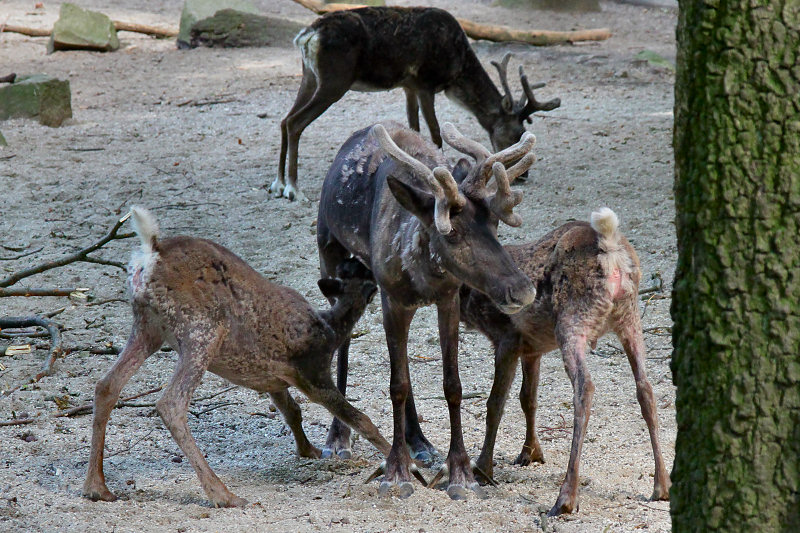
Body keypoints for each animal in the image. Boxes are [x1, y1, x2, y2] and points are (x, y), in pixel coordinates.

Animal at [82, 207, 390, 508]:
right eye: (363, 269)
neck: (331, 328)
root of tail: (151, 249)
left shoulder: (273, 380)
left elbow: (293, 411)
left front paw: (308, 450)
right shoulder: (312, 372)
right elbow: (360, 419)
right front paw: (395, 457)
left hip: (148, 327)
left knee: (106, 385)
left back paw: (97, 487)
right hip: (202, 330)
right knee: (170, 403)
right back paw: (223, 494)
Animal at [460, 209, 672, 516]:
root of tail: (610, 247)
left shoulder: (506, 337)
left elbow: (495, 403)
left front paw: (483, 469)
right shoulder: (532, 348)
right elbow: (528, 398)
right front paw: (531, 452)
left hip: (573, 320)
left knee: (585, 387)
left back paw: (566, 497)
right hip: (629, 318)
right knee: (645, 388)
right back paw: (662, 485)